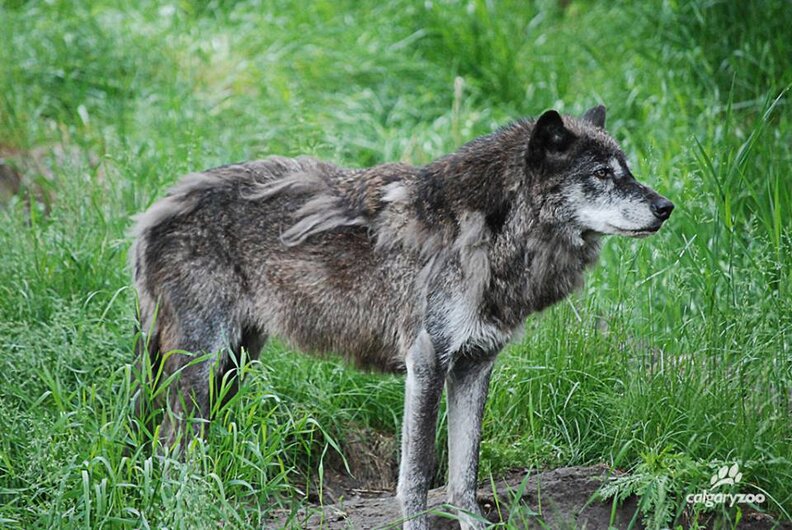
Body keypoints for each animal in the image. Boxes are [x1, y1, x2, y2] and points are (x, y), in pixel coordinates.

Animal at [130, 105, 673, 530]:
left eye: (626, 170)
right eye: (601, 174)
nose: (666, 206)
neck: (483, 236)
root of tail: (154, 210)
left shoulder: (476, 365)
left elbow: (463, 476)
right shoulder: (427, 364)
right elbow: (416, 475)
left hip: (233, 365)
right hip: (200, 363)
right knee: (173, 445)